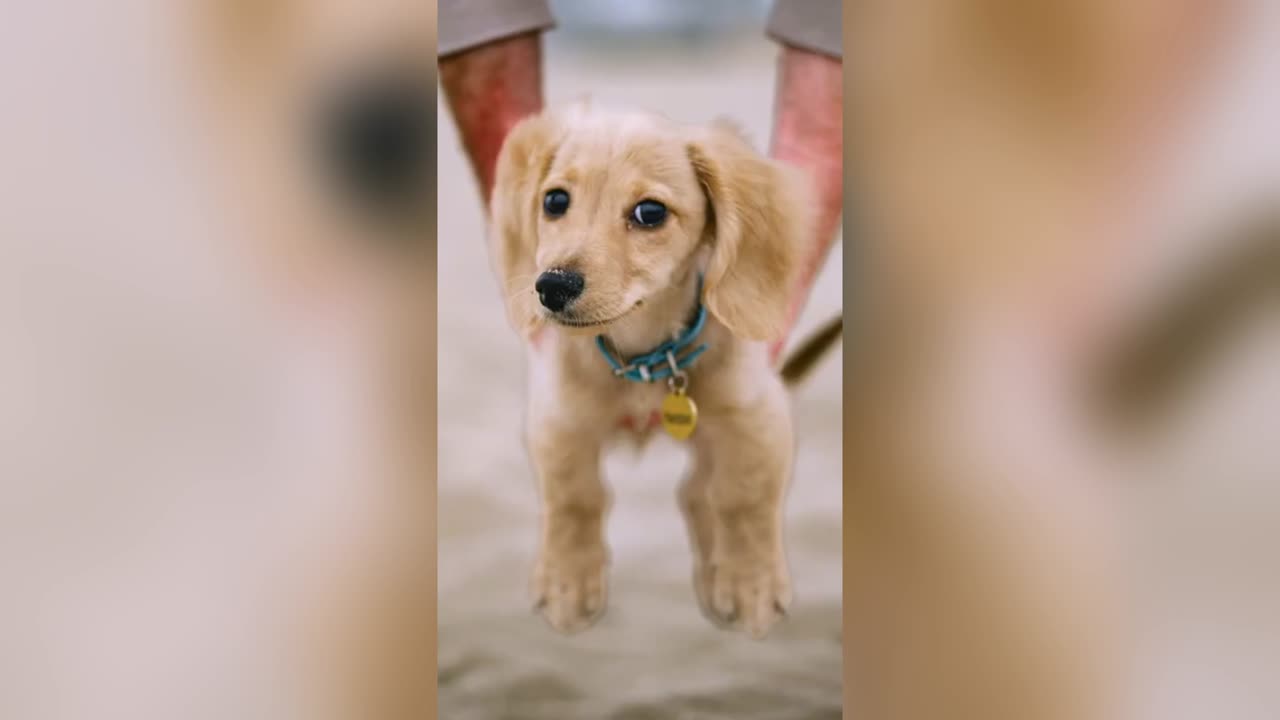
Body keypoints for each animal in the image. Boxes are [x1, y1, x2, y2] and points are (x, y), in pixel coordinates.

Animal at [483, 101, 824, 632]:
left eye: (650, 212)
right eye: (555, 200)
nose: (551, 287)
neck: (643, 359)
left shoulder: (757, 417)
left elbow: (743, 499)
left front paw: (750, 583)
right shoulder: (559, 419)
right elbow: (574, 498)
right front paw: (567, 579)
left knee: (699, 492)